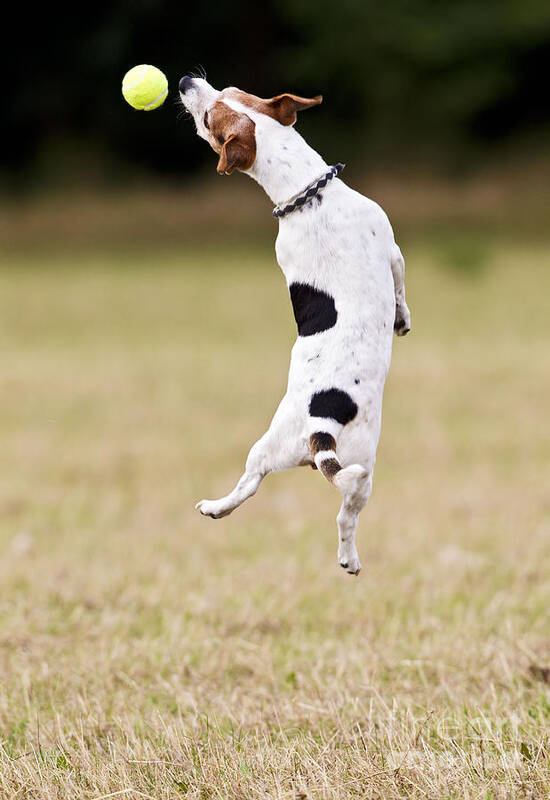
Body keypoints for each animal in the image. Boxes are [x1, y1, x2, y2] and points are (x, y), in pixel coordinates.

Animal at [179, 75, 412, 576]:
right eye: (213, 113)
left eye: (221, 102)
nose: (186, 81)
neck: (311, 196)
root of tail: (321, 427)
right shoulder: (393, 251)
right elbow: (401, 287)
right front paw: (402, 319)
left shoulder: (390, 250)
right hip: (327, 459)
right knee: (318, 505)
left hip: (319, 459)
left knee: (287, 494)